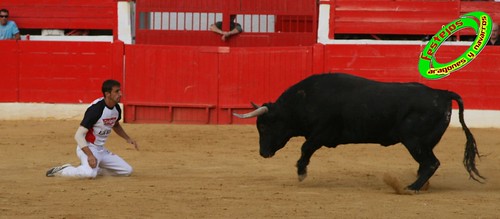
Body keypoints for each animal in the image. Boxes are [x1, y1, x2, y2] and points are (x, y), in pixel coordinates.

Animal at [234, 72, 484, 191]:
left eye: (263, 126)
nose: (263, 153)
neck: (305, 99)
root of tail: (441, 93)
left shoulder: (322, 133)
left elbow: (305, 147)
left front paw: (301, 172)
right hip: (421, 143)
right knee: (426, 165)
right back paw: (417, 185)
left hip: (414, 141)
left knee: (431, 163)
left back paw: (410, 188)